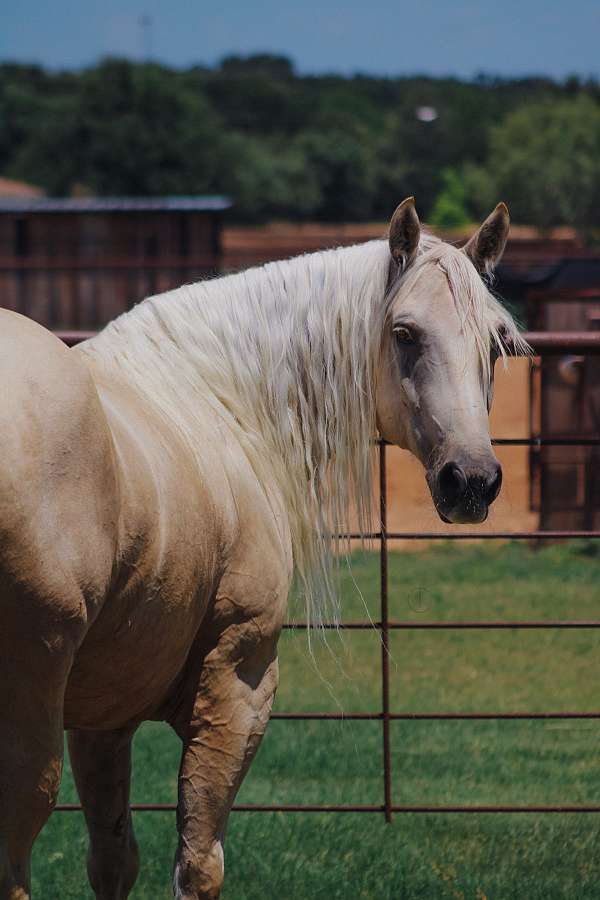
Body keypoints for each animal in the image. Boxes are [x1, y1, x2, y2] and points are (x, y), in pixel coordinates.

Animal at [0, 200, 524, 896]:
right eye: (406, 334)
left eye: (495, 342)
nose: (472, 481)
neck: (220, 402)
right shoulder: (238, 682)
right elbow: (199, 861)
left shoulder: (103, 718)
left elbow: (113, 860)